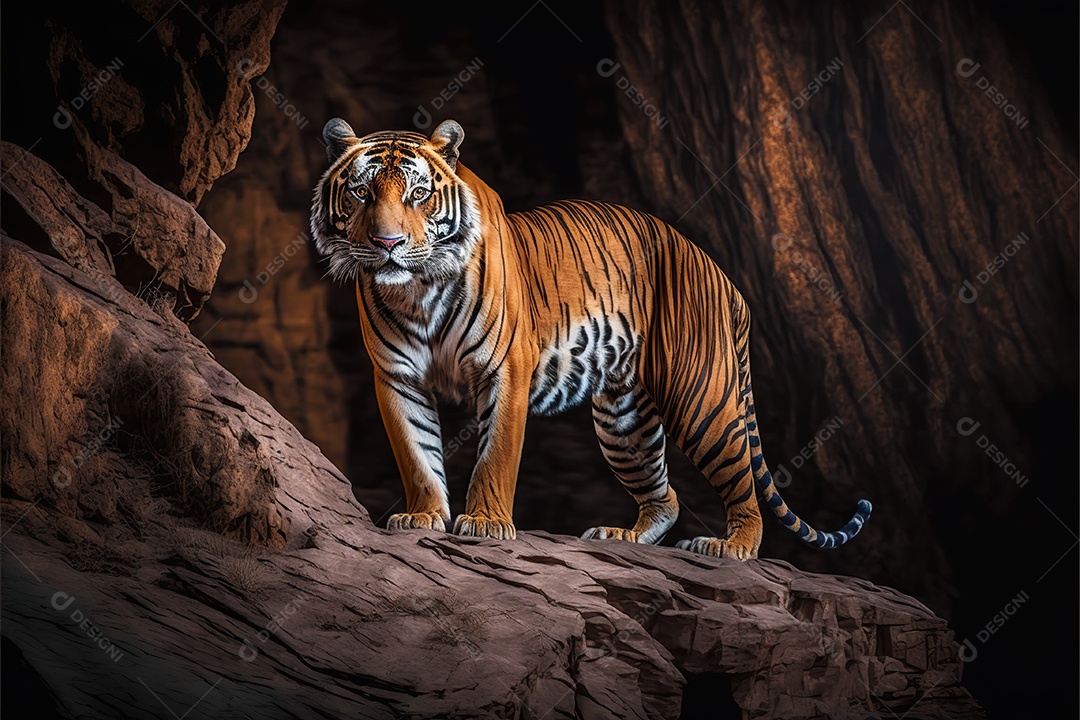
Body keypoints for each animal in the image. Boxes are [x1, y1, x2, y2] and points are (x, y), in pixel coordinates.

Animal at [309, 117, 871, 559]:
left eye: (418, 195)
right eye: (361, 192)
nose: (388, 243)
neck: (418, 291)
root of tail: (723, 277)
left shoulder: (504, 371)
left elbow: (495, 455)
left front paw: (486, 524)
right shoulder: (397, 377)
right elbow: (417, 455)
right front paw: (422, 516)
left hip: (700, 399)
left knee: (742, 484)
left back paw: (731, 547)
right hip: (625, 421)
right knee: (665, 497)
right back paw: (621, 537)